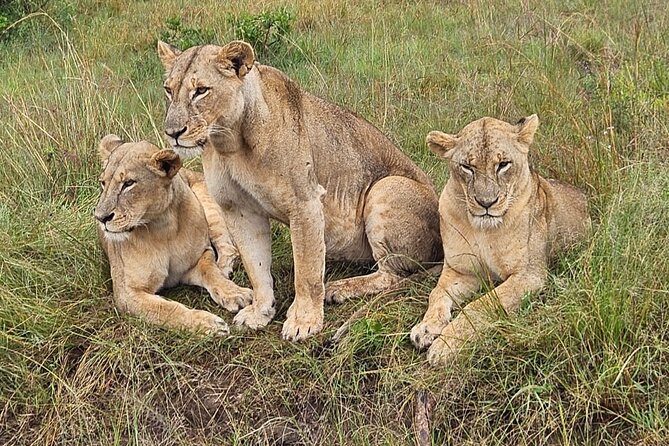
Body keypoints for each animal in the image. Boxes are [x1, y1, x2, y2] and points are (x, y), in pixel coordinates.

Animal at [94, 135, 252, 334]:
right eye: (103, 183)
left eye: (128, 183)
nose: (100, 217)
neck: (162, 229)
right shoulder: (127, 294)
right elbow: (167, 309)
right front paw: (208, 324)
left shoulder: (198, 258)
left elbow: (211, 272)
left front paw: (235, 293)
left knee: (229, 248)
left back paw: (224, 268)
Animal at [157, 40, 443, 341]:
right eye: (168, 90)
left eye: (201, 90)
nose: (172, 132)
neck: (231, 142)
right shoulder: (238, 209)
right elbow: (256, 267)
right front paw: (260, 312)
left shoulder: (305, 202)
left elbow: (306, 271)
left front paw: (303, 321)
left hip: (385, 187)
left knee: (393, 274)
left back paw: (339, 288)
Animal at [410, 115, 590, 365]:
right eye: (467, 167)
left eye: (503, 164)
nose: (486, 203)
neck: (482, 230)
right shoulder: (461, 271)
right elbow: (436, 294)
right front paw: (425, 328)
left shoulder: (529, 275)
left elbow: (481, 304)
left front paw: (446, 344)